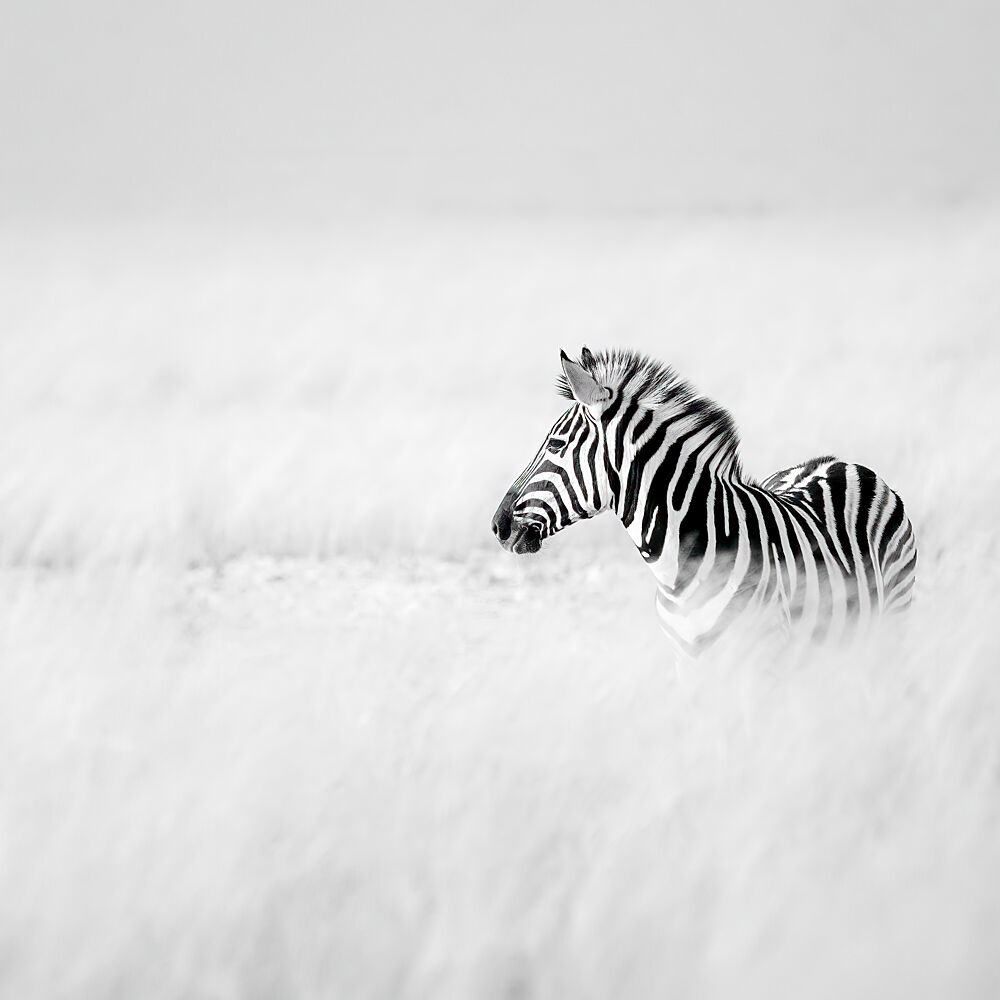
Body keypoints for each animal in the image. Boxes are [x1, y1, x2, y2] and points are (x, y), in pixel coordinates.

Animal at [491, 348, 917, 656]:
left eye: (555, 445)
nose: (498, 526)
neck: (677, 571)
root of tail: (838, 461)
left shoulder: (765, 655)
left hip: (894, 617)